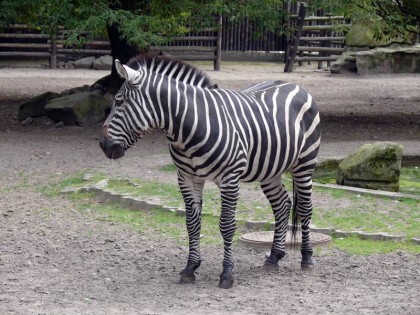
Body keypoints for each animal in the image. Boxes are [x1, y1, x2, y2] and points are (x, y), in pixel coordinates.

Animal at [99, 55, 322, 290]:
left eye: (119, 102)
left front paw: (227, 273)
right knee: (282, 205)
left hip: (305, 164)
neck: (188, 130)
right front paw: (190, 268)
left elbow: (227, 225)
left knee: (305, 208)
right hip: (270, 170)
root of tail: (296, 86)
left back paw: (307, 257)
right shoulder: (187, 178)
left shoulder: (229, 178)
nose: (102, 145)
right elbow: (192, 223)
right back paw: (274, 257)